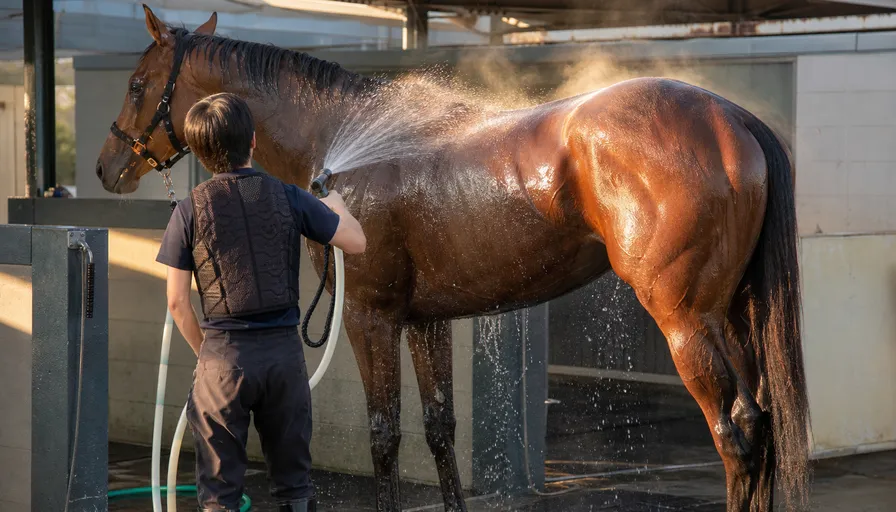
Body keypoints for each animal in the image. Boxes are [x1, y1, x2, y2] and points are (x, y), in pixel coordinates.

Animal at [96, 7, 810, 512]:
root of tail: (730, 118)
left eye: (137, 84)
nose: (107, 168)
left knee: (736, 434)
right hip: (735, 317)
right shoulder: (424, 322)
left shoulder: (371, 319)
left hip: (687, 322)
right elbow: (441, 427)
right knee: (762, 426)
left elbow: (384, 434)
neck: (339, 143)